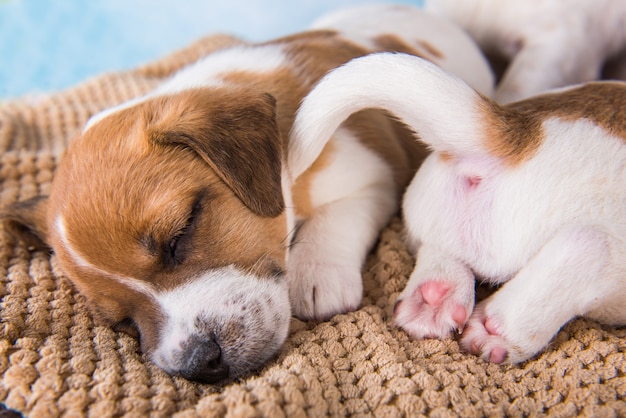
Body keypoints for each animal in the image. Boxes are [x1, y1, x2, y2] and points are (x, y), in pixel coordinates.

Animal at [2, 4, 494, 384]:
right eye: (119, 320)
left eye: (181, 234)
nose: (201, 363)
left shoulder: (374, 177)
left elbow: (336, 217)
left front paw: (316, 272)